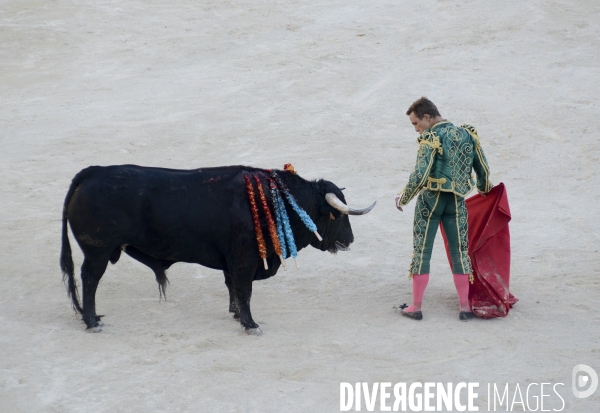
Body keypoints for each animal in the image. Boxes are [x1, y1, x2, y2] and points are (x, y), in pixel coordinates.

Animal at [58, 163, 372, 334]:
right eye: (338, 215)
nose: (350, 240)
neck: (277, 200)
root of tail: (92, 173)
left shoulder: (231, 261)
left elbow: (232, 288)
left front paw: (235, 314)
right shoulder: (244, 261)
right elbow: (244, 290)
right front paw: (250, 324)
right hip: (97, 252)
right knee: (90, 280)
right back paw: (92, 321)